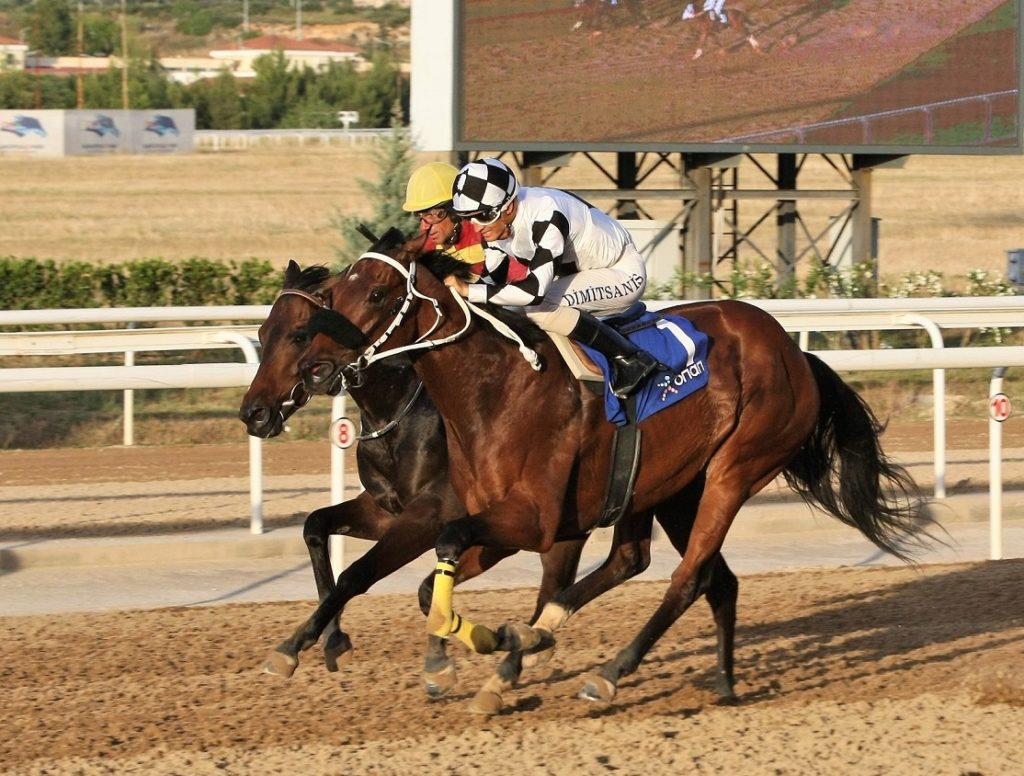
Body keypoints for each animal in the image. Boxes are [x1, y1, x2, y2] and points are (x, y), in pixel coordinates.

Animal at [296, 235, 929, 704]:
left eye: (377, 292)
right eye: (335, 290)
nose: (314, 365)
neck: (498, 387)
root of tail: (796, 352)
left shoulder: (535, 519)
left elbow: (447, 546)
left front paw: (472, 649)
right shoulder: (501, 520)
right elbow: (433, 579)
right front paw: (469, 651)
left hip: (735, 470)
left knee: (688, 577)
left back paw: (608, 671)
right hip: (668, 485)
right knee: (662, 566)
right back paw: (718, 683)